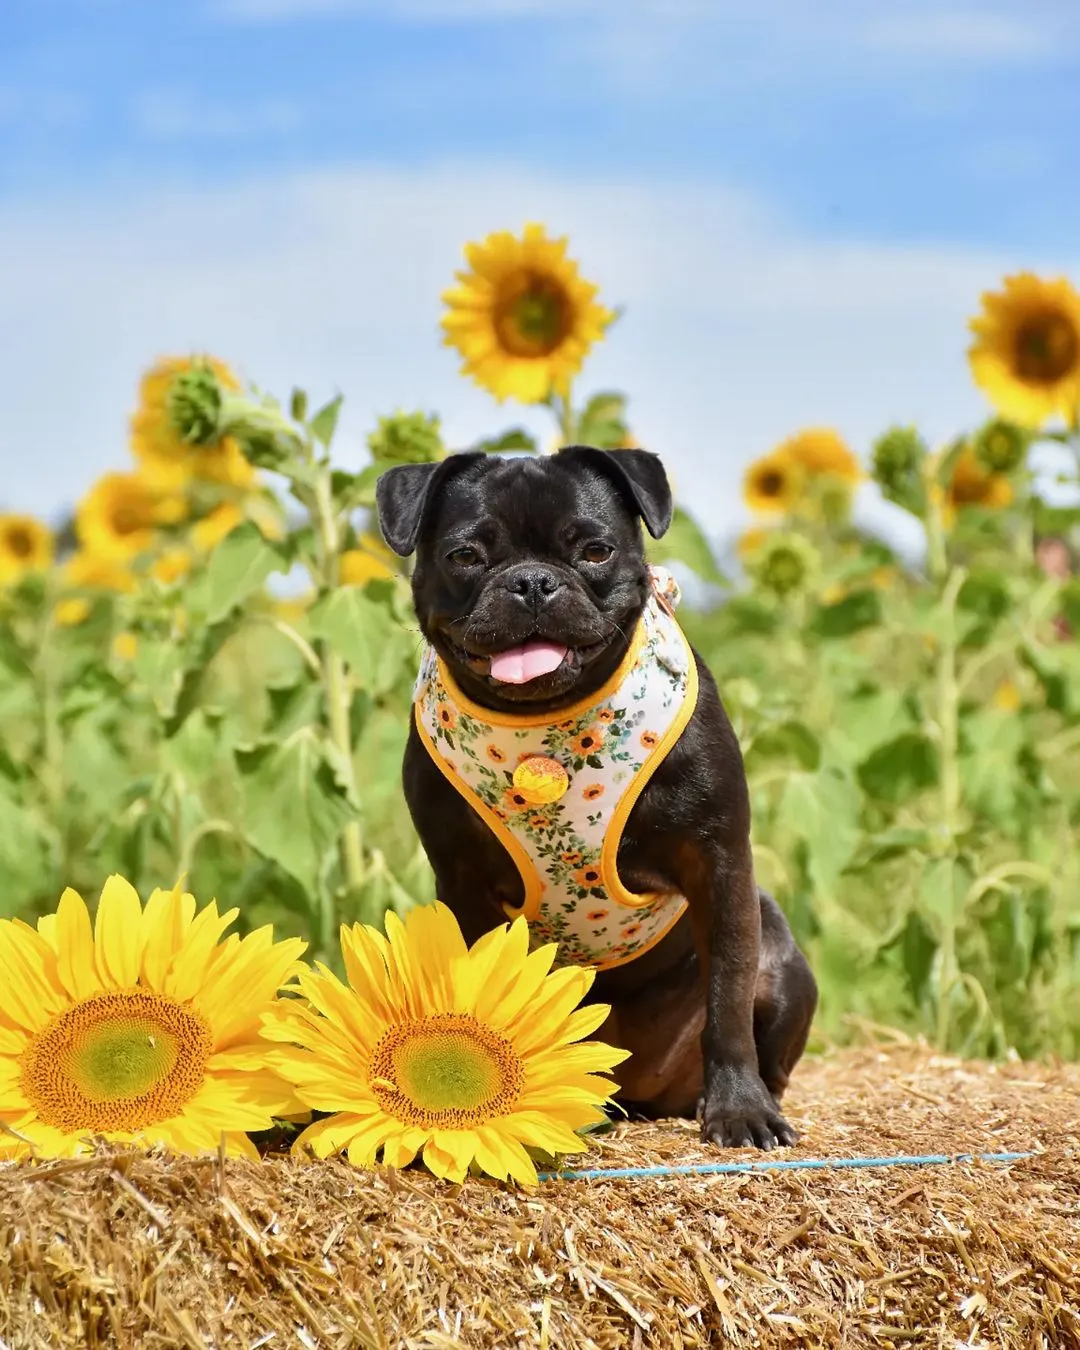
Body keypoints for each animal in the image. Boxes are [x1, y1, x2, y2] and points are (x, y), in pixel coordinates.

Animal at [375, 448, 815, 1144]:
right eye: (465, 555)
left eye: (597, 550)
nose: (532, 582)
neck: (547, 723)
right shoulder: (462, 882)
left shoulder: (719, 865)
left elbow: (728, 996)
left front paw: (740, 1110)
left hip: (779, 951)